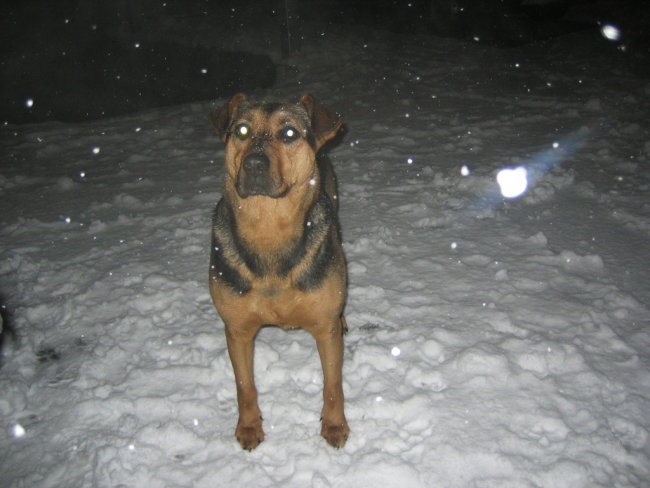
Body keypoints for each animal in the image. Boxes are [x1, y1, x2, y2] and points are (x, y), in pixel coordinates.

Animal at [208, 92, 350, 450]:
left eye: (289, 134)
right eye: (241, 130)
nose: (254, 164)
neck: (268, 230)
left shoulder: (325, 329)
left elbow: (333, 384)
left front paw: (334, 425)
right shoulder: (237, 329)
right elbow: (244, 384)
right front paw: (248, 427)